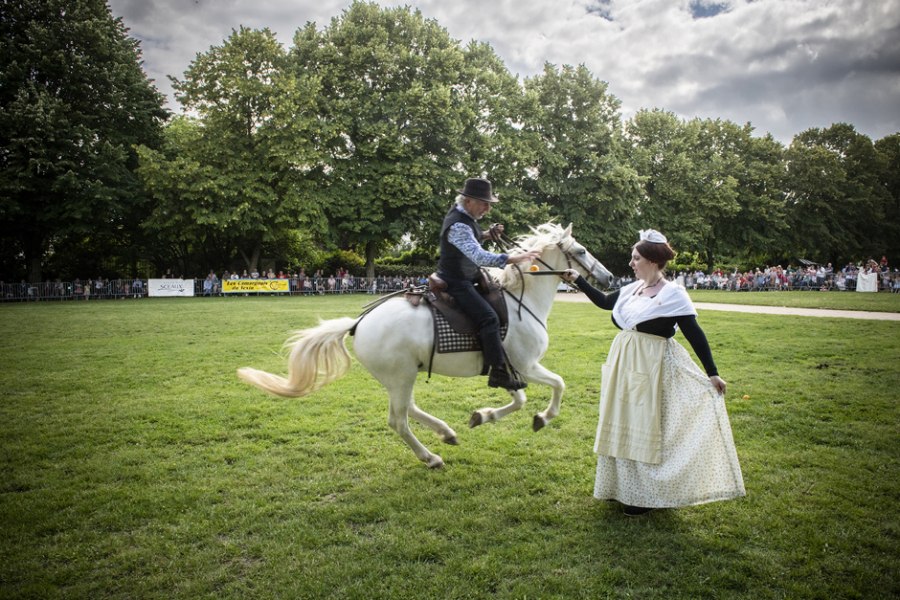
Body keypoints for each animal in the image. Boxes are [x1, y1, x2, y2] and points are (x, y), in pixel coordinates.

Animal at [237, 224, 612, 468]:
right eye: (580, 251)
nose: (609, 277)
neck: (522, 299)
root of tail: (359, 323)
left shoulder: (512, 369)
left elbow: (523, 398)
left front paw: (482, 416)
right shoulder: (524, 366)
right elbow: (552, 387)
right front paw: (539, 418)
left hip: (403, 376)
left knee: (410, 409)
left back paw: (446, 432)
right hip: (400, 377)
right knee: (398, 421)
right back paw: (430, 457)